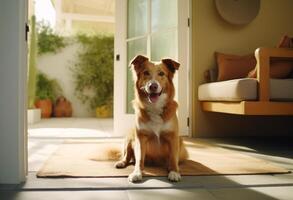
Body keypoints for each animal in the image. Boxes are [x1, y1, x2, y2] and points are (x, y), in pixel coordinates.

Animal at [114, 55, 187, 183]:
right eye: (146, 73)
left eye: (161, 73)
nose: (153, 86)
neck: (155, 107)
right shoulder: (141, 137)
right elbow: (139, 159)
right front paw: (137, 173)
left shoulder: (173, 136)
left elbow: (173, 157)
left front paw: (174, 171)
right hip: (130, 136)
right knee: (127, 156)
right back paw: (122, 162)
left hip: (180, 141)